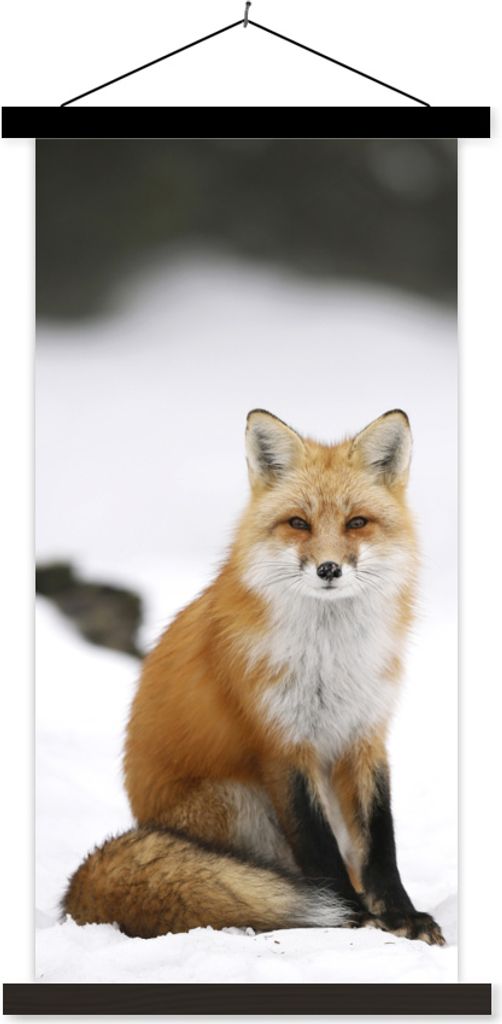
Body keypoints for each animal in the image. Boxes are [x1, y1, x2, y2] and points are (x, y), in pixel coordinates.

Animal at [63, 409, 445, 945]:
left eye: (357, 523)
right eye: (299, 523)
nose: (329, 569)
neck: (330, 659)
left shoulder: (365, 734)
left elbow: (380, 842)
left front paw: (400, 915)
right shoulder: (281, 743)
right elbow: (318, 847)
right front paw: (353, 917)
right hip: (236, 799)